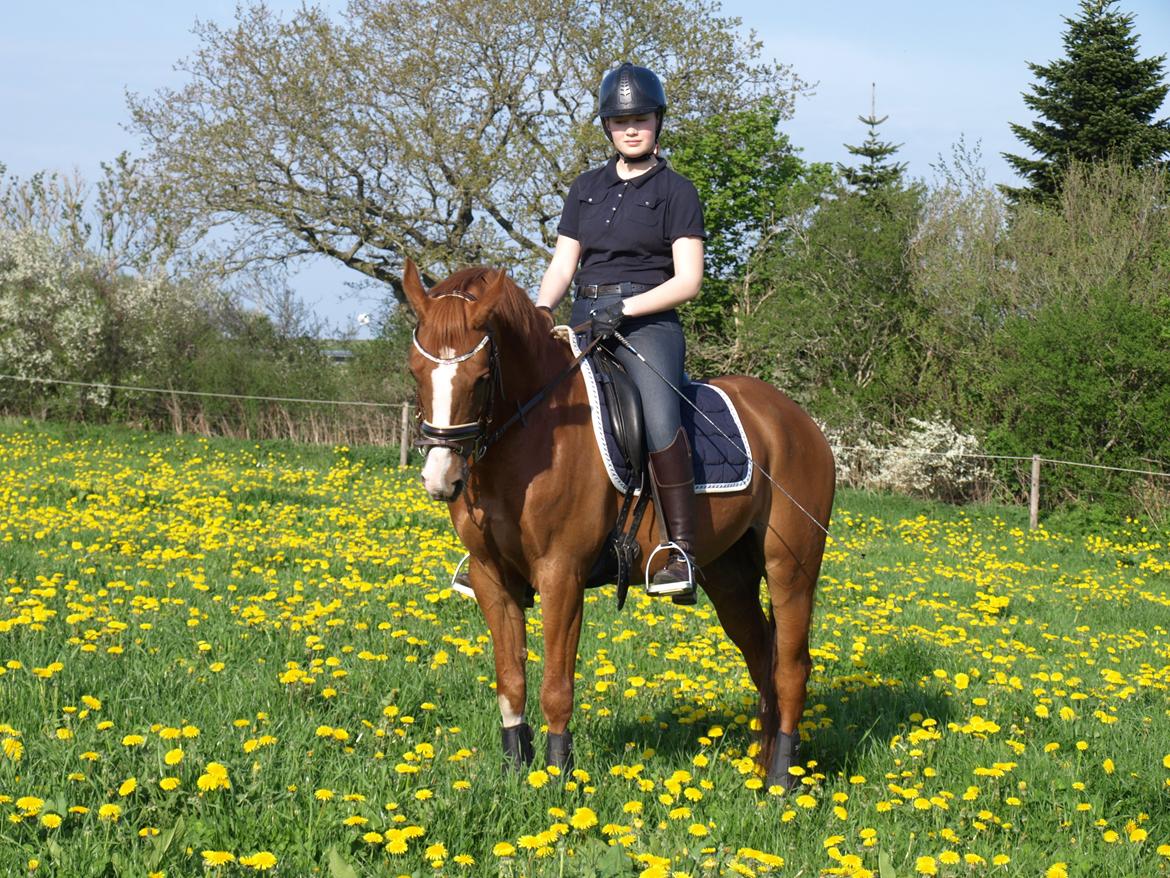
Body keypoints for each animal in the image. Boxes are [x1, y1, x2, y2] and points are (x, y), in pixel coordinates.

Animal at [402, 260, 835, 788]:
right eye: (415, 370)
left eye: (482, 376)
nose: (440, 478)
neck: (533, 438)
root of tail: (795, 419)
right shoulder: (491, 578)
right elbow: (511, 682)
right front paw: (514, 770)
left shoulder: (562, 574)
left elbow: (556, 686)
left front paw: (558, 776)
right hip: (729, 578)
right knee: (762, 660)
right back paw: (757, 767)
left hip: (791, 569)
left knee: (791, 667)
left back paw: (779, 780)